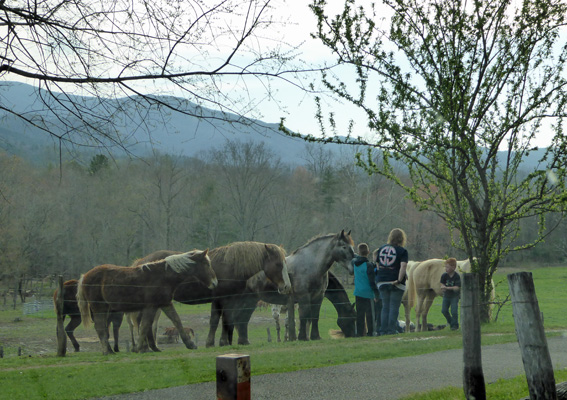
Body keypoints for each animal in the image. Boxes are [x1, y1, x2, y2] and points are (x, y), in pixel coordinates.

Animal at [76, 248, 214, 354]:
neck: (162, 276)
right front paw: (138, 348)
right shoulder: (150, 307)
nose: (214, 282)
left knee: (103, 328)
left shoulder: (165, 304)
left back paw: (109, 350)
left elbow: (177, 321)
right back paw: (107, 351)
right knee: (100, 327)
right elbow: (145, 326)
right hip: (100, 308)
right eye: (207, 264)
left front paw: (190, 344)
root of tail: (84, 276)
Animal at [126, 241, 290, 350]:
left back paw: (150, 347)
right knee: (143, 321)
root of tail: (141, 262)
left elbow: (225, 320)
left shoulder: (227, 300)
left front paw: (218, 342)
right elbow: (220, 321)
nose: (286, 286)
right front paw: (218, 342)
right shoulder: (222, 300)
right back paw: (146, 347)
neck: (232, 266)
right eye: (278, 264)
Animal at [219, 231, 356, 344]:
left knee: (242, 318)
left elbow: (314, 317)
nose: (353, 334)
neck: (310, 265)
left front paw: (315, 336)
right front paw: (302, 337)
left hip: (250, 300)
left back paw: (244, 341)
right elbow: (304, 316)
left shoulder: (318, 297)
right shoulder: (303, 297)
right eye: (344, 246)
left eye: (352, 247)